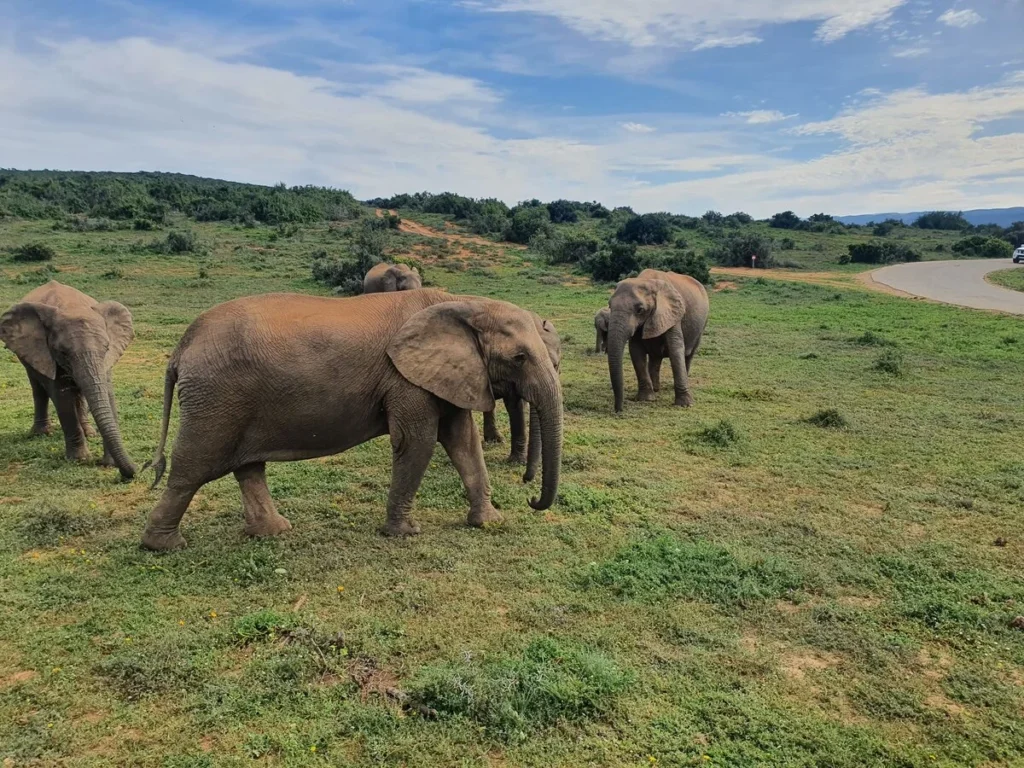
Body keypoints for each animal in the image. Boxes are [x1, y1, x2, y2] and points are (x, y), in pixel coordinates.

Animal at [0, 280, 138, 479]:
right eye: (63, 352)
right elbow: (62, 397)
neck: (71, 307)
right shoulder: (47, 353)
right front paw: (80, 460)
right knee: (38, 388)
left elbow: (107, 393)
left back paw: (90, 433)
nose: (133, 471)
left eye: (106, 348)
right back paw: (42, 433)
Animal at [483, 309, 565, 479]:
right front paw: (518, 462)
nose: (525, 477)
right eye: (520, 359)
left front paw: (516, 461)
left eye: (555, 365)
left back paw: (494, 440)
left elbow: (515, 404)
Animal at [602, 270, 708, 415]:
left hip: (702, 324)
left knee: (689, 355)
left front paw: (685, 405)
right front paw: (646, 399)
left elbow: (675, 349)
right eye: (610, 306)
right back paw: (656, 389)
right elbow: (636, 350)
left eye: (640, 310)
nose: (618, 410)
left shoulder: (672, 313)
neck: (647, 281)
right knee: (656, 357)